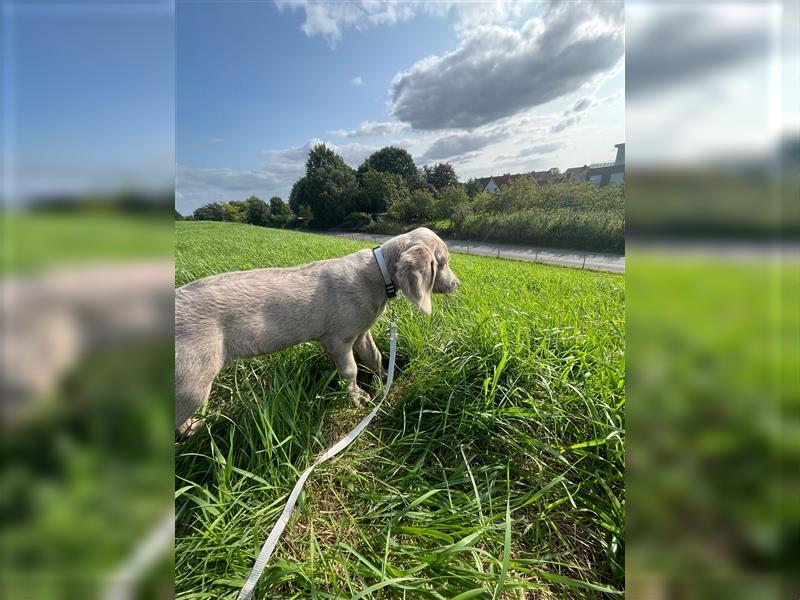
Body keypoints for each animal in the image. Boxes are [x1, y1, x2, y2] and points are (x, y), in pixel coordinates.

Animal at [177, 226, 460, 432]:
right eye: (443, 262)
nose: (457, 284)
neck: (379, 274)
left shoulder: (361, 332)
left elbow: (374, 356)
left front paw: (384, 381)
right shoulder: (338, 339)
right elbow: (350, 370)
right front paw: (359, 399)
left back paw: (193, 429)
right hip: (192, 381)